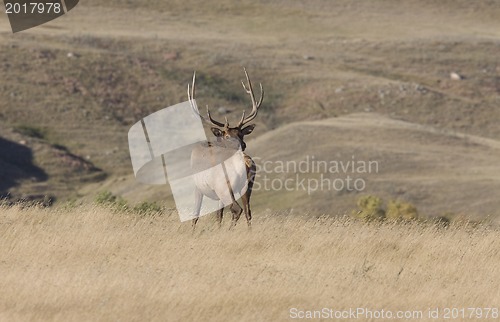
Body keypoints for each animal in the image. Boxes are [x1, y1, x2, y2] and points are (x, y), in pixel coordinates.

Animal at [188, 67, 264, 229]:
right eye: (228, 135)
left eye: (241, 134)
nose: (243, 145)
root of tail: (246, 163)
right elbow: (219, 215)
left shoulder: (198, 186)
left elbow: (195, 215)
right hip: (247, 187)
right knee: (248, 212)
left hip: (225, 187)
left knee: (237, 209)